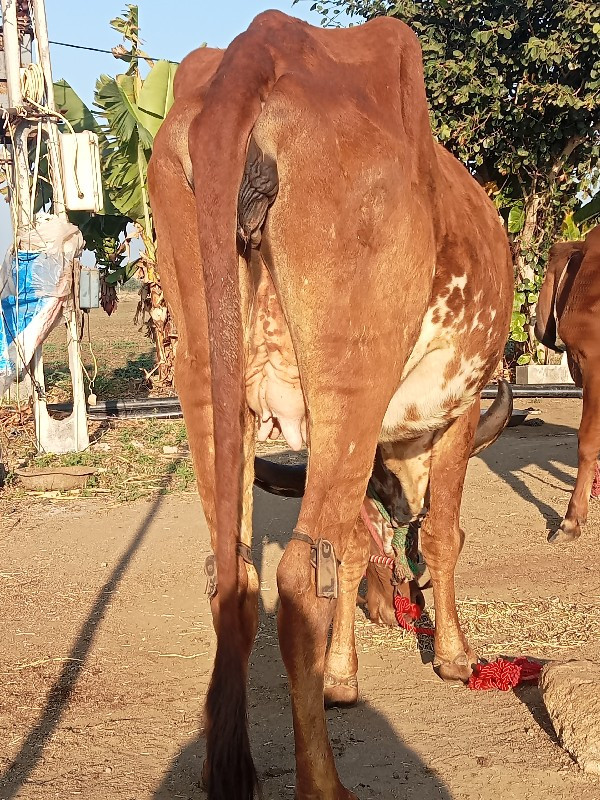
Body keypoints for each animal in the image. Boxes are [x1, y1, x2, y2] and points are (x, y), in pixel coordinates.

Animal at [149, 14, 510, 800]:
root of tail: (258, 48)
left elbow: (348, 550)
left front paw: (342, 675)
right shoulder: (459, 411)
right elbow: (443, 534)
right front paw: (455, 655)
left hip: (205, 372)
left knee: (237, 573)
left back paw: (226, 767)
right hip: (353, 373)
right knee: (293, 580)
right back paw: (323, 783)